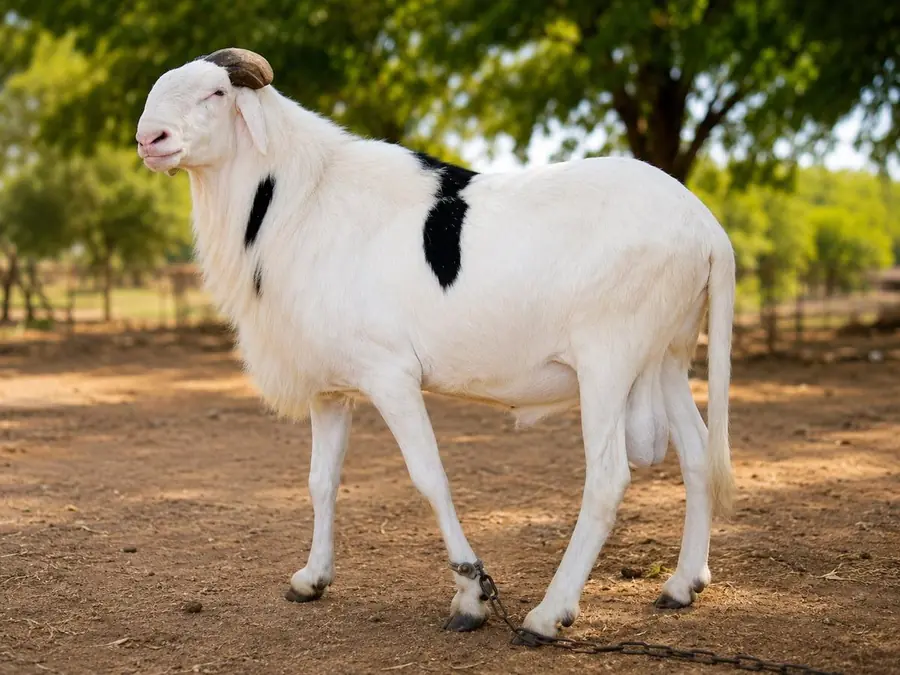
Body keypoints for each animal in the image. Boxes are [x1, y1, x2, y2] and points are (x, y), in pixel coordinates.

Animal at [136, 47, 737, 639]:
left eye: (216, 93)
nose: (150, 138)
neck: (304, 200)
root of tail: (705, 225)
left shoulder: (390, 375)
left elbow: (430, 478)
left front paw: (471, 596)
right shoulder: (330, 391)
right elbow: (320, 480)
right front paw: (312, 578)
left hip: (607, 360)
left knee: (608, 479)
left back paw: (549, 614)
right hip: (667, 357)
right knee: (697, 453)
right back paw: (683, 584)